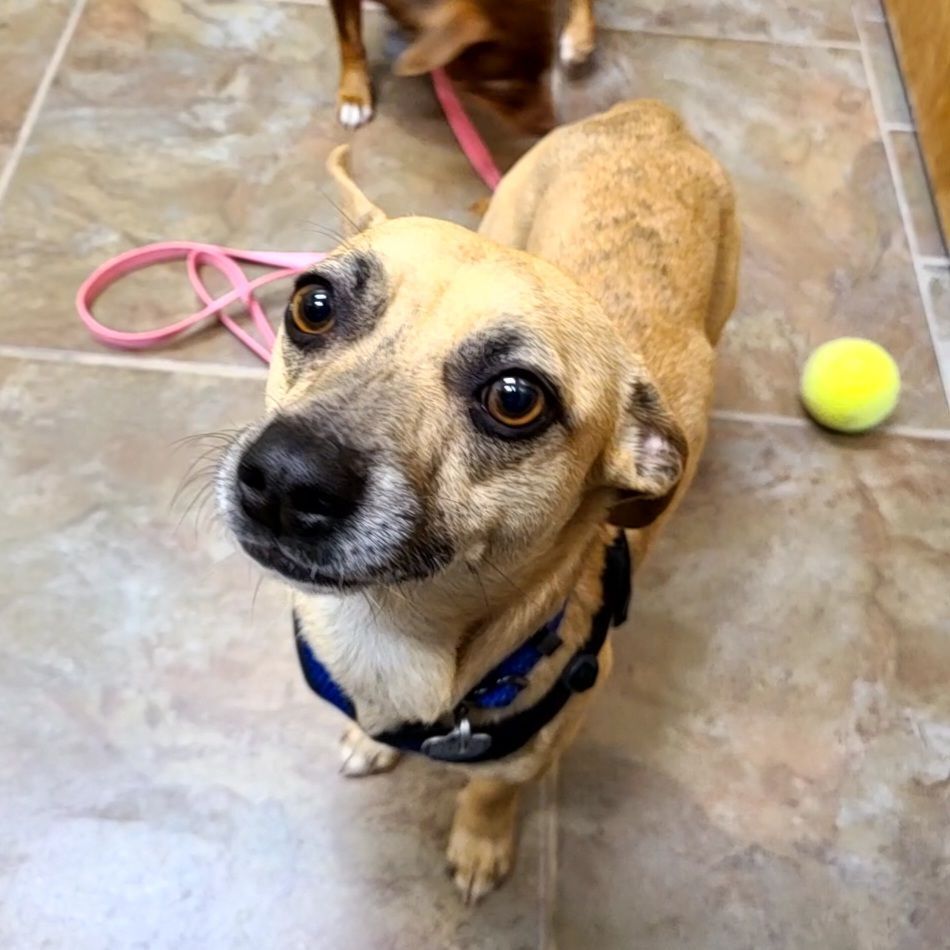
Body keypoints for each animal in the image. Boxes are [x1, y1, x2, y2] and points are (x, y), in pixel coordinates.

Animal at [218, 100, 744, 904]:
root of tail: (651, 117)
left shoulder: (542, 742)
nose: (282, 477)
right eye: (312, 305)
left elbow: (491, 791)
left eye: (516, 398)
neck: (396, 628)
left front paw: (479, 845)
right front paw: (368, 741)